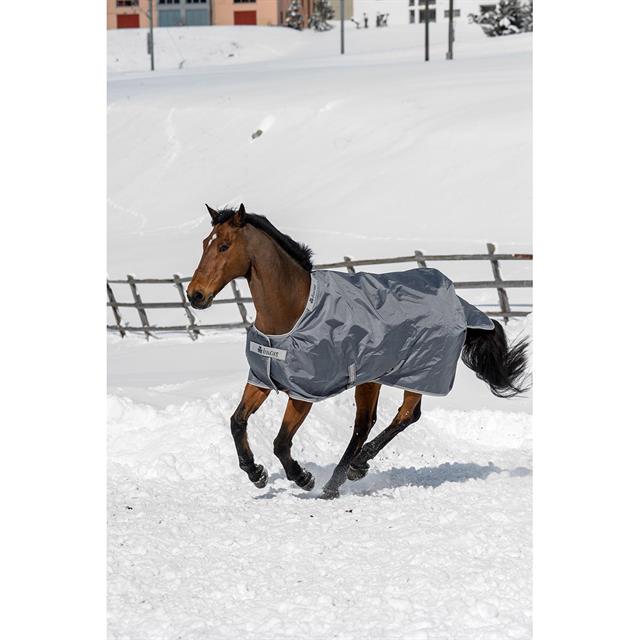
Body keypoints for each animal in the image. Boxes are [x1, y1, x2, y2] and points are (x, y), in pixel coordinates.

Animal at [187, 204, 529, 499]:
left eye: (224, 246)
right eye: (205, 243)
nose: (195, 295)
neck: (292, 314)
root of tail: (460, 302)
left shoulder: (303, 393)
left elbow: (281, 442)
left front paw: (303, 477)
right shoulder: (262, 379)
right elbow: (237, 422)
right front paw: (255, 473)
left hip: (417, 373)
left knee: (403, 416)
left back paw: (348, 472)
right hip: (373, 377)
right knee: (368, 423)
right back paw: (344, 475)